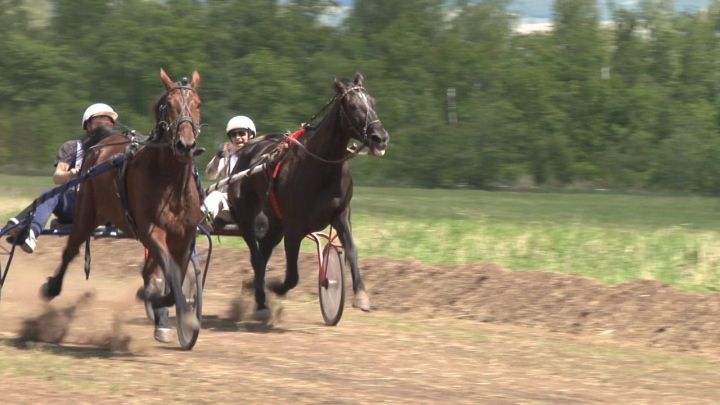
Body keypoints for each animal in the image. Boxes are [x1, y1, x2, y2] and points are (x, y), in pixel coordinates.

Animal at [42, 68, 202, 344]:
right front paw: (179, 312)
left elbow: (175, 278)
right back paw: (53, 286)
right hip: (86, 212)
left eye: (197, 104)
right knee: (70, 250)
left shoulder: (184, 236)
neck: (171, 184)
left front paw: (161, 302)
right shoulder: (151, 230)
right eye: (168, 105)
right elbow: (170, 272)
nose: (185, 145)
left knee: (149, 269)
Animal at [229, 72, 388, 318]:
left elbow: (351, 250)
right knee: (256, 256)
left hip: (275, 225)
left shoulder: (341, 213)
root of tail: (244, 153)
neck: (322, 167)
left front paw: (361, 296)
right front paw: (274, 286)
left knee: (263, 253)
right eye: (353, 106)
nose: (380, 137)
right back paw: (262, 301)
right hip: (247, 218)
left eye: (373, 101)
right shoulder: (294, 228)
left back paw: (255, 290)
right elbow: (292, 277)